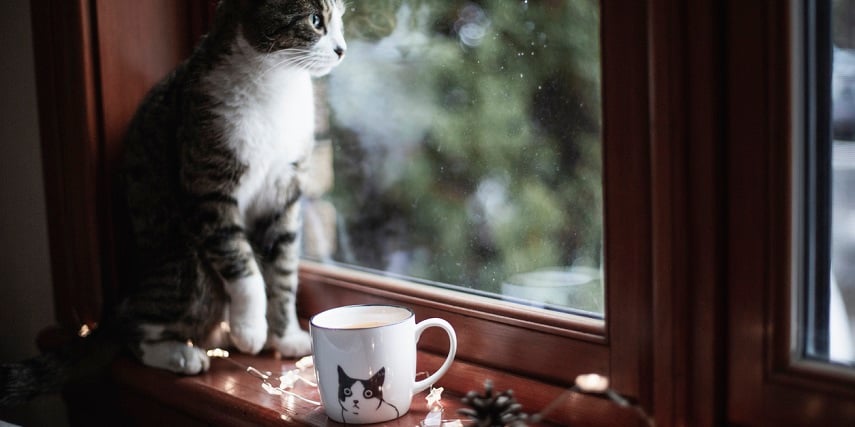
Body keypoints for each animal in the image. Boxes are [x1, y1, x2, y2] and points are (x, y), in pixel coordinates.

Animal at [1, 0, 348, 408]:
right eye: (315, 20)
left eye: (341, 20)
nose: (342, 49)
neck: (276, 86)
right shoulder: (207, 185)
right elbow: (242, 264)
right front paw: (250, 327)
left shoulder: (284, 189)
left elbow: (283, 270)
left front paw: (285, 335)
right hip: (185, 267)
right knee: (134, 327)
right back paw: (182, 353)